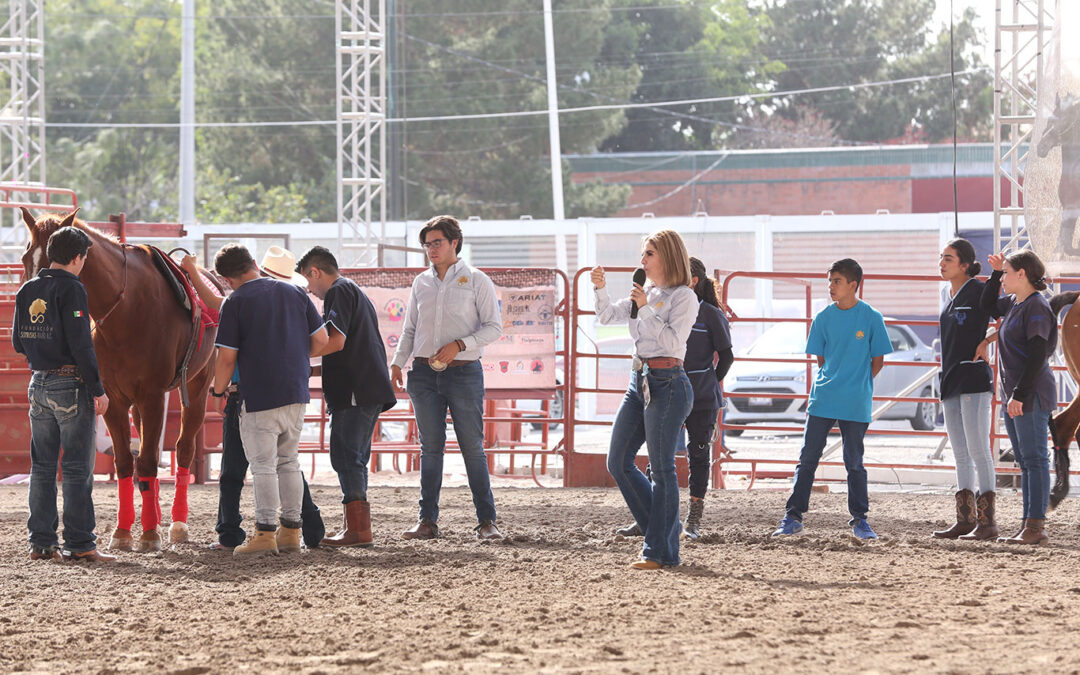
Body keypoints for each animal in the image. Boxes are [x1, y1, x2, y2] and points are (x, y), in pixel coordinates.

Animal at [22, 208, 214, 550]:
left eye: (51, 263)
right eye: (24, 259)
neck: (128, 307)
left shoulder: (152, 396)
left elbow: (148, 461)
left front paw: (149, 535)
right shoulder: (112, 399)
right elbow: (126, 462)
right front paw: (124, 531)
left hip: (197, 387)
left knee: (183, 449)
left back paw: (177, 524)